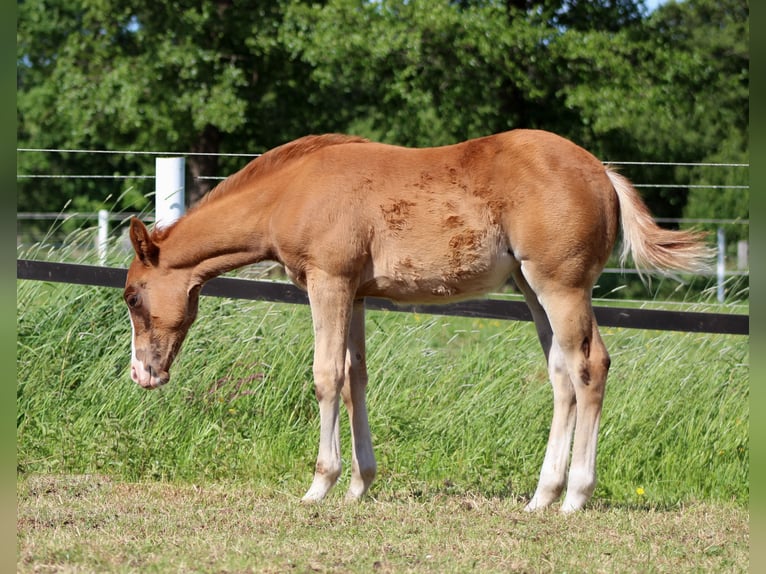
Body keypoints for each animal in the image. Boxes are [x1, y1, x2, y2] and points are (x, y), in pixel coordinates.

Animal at [124, 129, 709, 512]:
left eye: (131, 297)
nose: (142, 375)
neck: (290, 191)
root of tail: (602, 172)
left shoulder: (328, 282)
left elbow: (325, 376)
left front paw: (320, 485)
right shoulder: (356, 294)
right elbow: (355, 378)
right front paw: (360, 485)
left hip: (561, 287)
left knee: (590, 367)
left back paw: (575, 497)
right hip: (531, 290)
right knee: (561, 376)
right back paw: (542, 496)